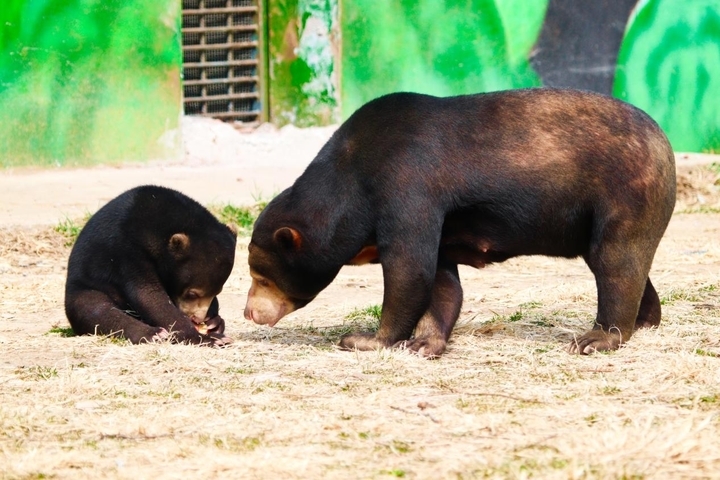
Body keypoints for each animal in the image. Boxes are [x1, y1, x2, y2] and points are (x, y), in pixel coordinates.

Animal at [64, 185, 236, 344]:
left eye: (217, 292)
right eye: (192, 294)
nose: (198, 318)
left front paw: (214, 323)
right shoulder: (126, 249)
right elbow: (148, 294)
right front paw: (208, 338)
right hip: (85, 288)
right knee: (96, 309)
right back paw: (154, 334)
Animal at [245, 87, 676, 356]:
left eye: (260, 277)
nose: (249, 312)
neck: (352, 177)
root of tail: (665, 143)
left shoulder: (407, 186)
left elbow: (408, 269)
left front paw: (365, 339)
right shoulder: (438, 222)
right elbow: (440, 280)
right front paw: (425, 344)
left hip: (625, 194)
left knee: (616, 262)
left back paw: (597, 338)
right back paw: (645, 321)